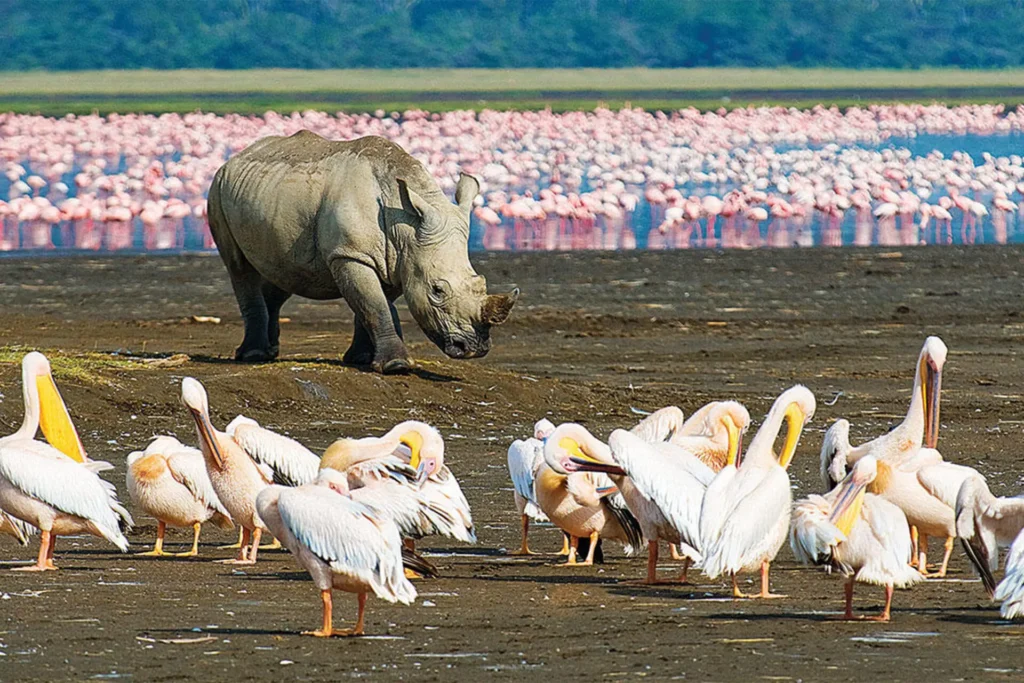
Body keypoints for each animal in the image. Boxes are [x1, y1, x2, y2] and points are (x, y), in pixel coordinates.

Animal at [206, 131, 518, 374]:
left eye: (480, 283)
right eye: (437, 291)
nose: (474, 348)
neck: (404, 226)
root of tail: (237, 156)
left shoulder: (398, 259)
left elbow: (374, 304)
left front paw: (362, 359)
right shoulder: (350, 254)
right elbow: (374, 304)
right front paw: (395, 366)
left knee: (282, 273)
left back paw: (269, 353)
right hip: (217, 189)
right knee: (240, 268)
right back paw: (253, 356)